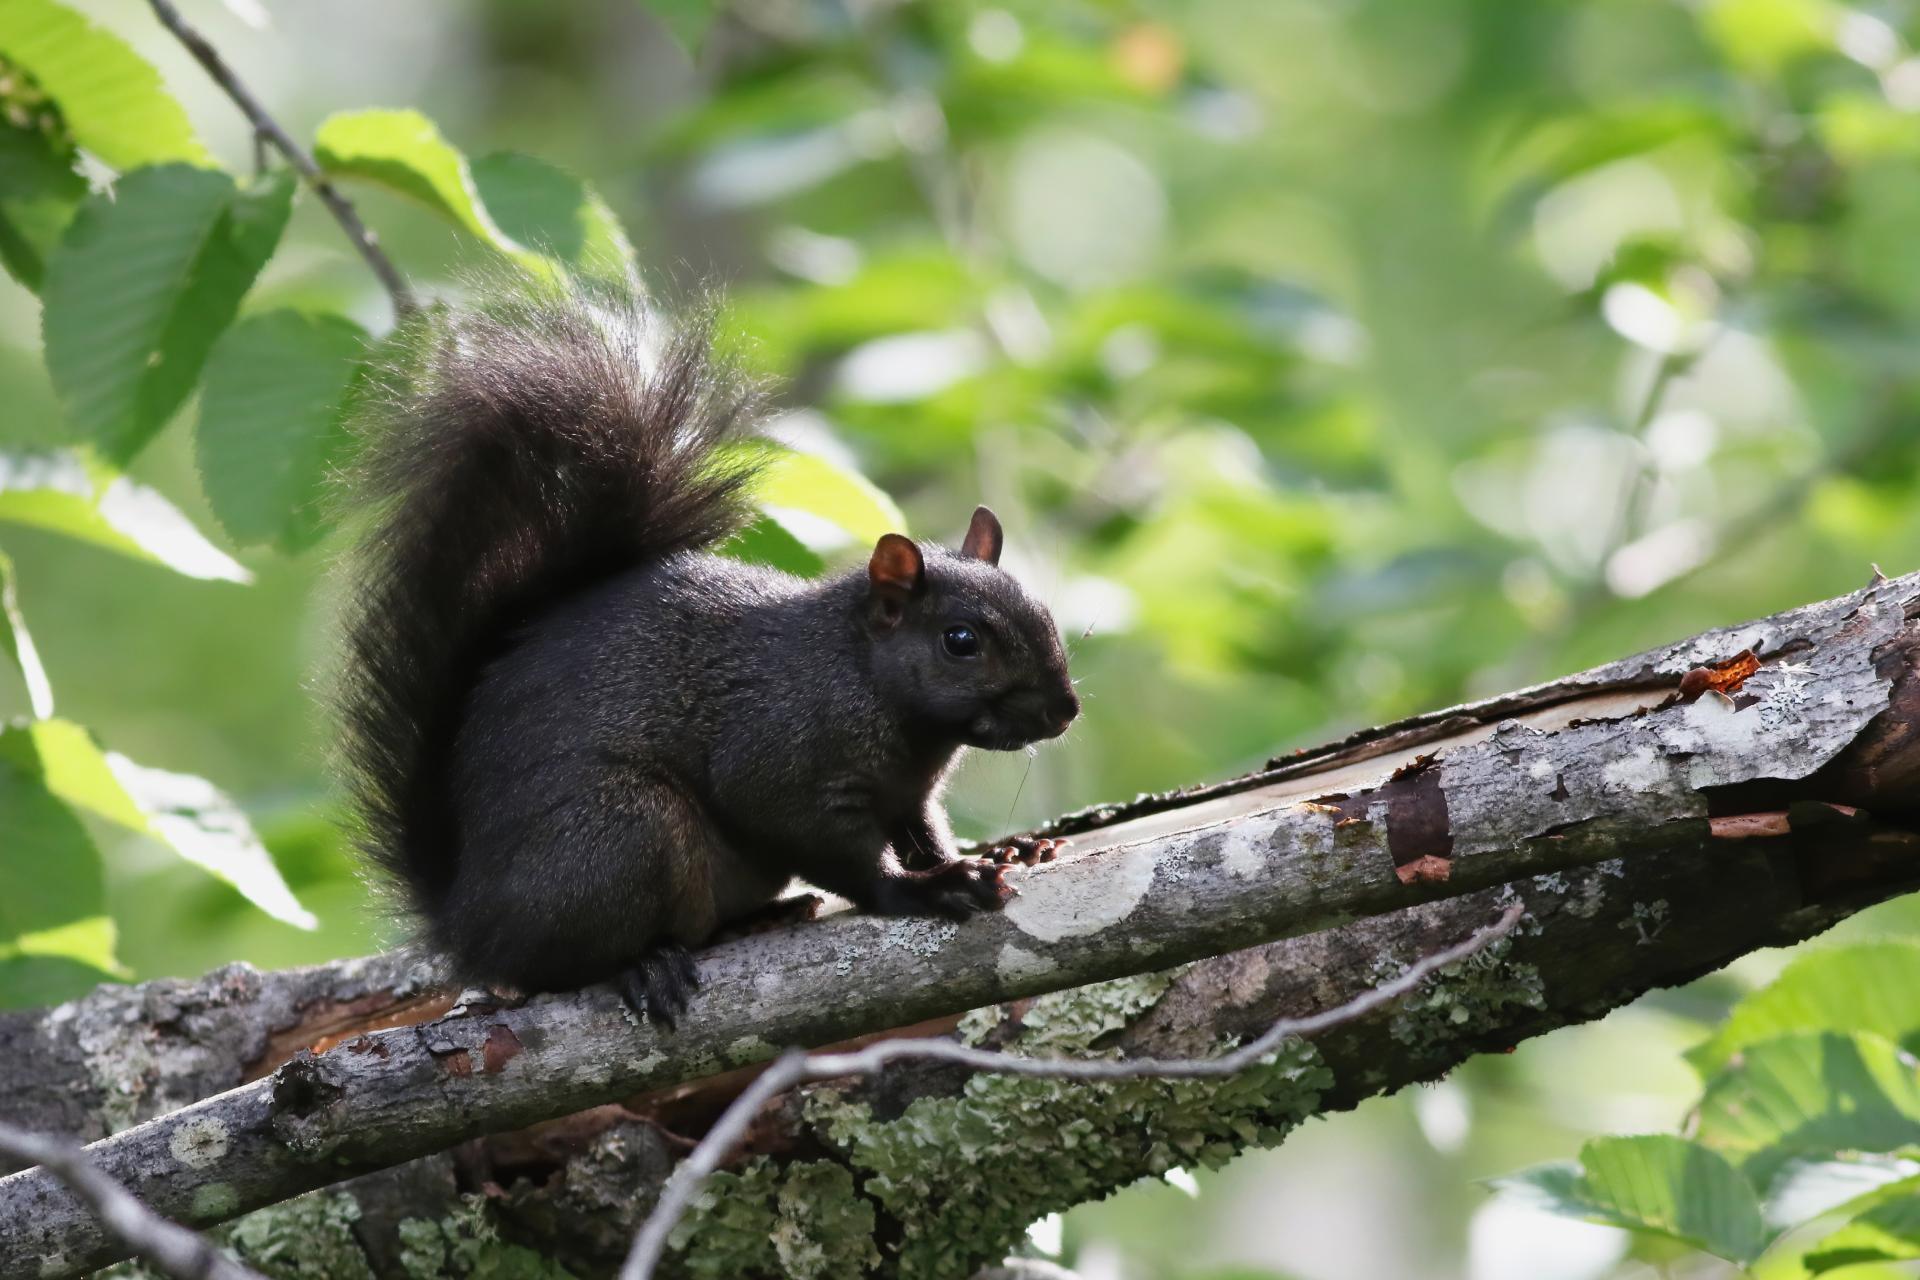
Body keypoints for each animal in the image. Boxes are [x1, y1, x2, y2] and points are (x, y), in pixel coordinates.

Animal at [337, 279, 1080, 1025]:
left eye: (1046, 612)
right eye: (961, 641)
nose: (1065, 711)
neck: (866, 682)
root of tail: (466, 921)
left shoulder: (908, 795)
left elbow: (924, 834)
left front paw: (1006, 849)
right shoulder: (778, 758)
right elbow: (835, 850)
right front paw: (926, 889)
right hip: (619, 833)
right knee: (556, 966)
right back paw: (643, 964)